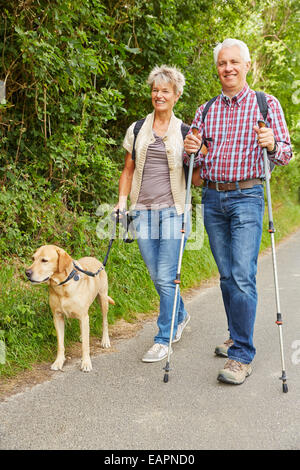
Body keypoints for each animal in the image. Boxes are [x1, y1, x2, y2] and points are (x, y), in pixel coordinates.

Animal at [25, 244, 114, 372]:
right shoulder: (58, 317)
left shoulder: (83, 316)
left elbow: (85, 346)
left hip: (103, 300)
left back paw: (105, 340)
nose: (27, 272)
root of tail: (96, 260)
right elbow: (60, 344)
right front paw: (59, 361)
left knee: (105, 322)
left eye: (44, 260)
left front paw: (86, 362)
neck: (62, 286)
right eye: (33, 259)